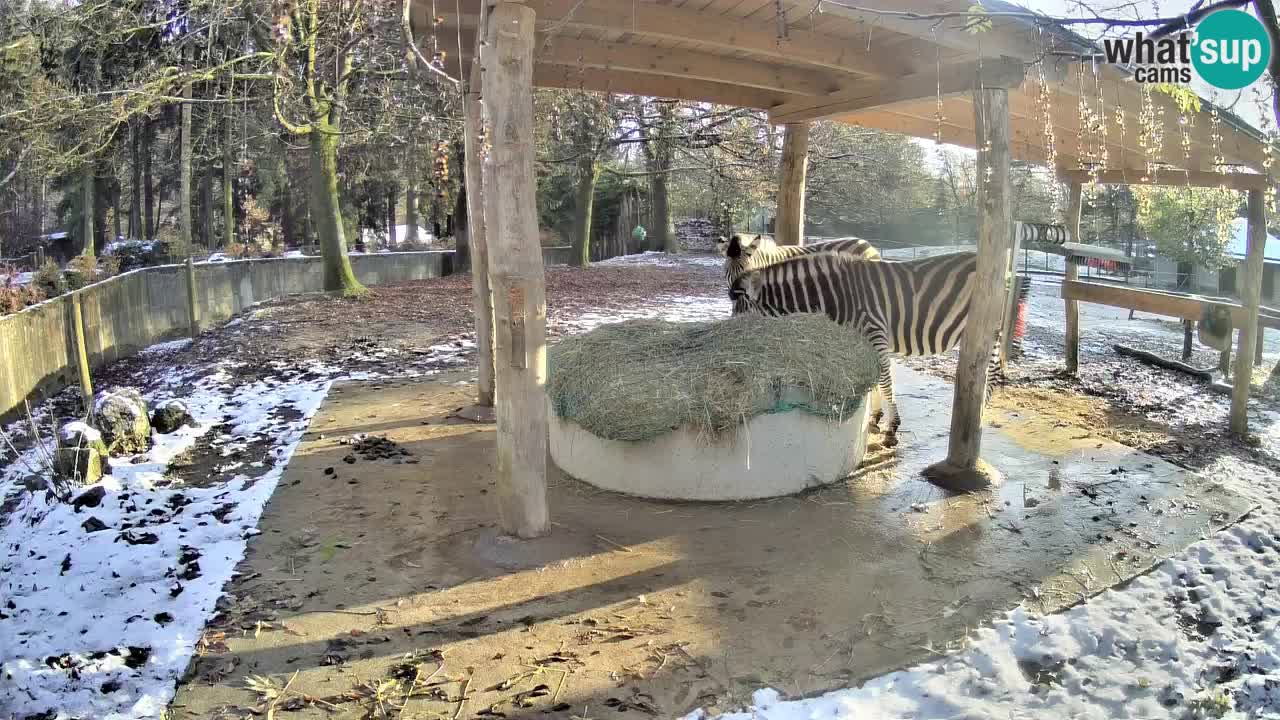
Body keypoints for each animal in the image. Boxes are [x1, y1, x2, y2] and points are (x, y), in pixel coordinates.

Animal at [732, 251, 1008, 443]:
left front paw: (892, 429)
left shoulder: (875, 331)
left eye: (741, 317)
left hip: (986, 328)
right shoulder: (867, 338)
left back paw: (978, 417)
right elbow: (876, 380)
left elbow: (885, 381)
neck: (838, 295)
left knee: (992, 374)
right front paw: (875, 419)